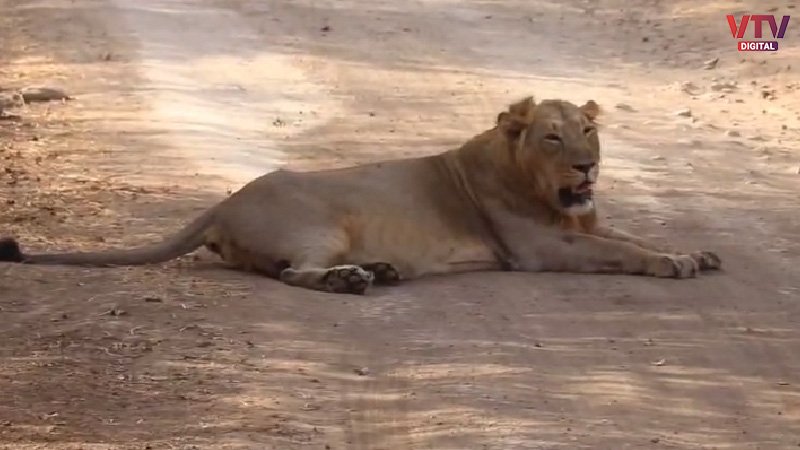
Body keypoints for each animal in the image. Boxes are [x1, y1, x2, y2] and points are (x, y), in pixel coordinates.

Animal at [0, 96, 721, 294]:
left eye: (589, 130)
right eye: (552, 136)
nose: (587, 166)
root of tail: (224, 201)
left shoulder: (578, 225)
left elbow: (627, 235)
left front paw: (695, 251)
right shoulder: (537, 248)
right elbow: (622, 252)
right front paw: (672, 263)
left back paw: (377, 270)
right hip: (321, 225)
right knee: (293, 274)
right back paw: (351, 280)